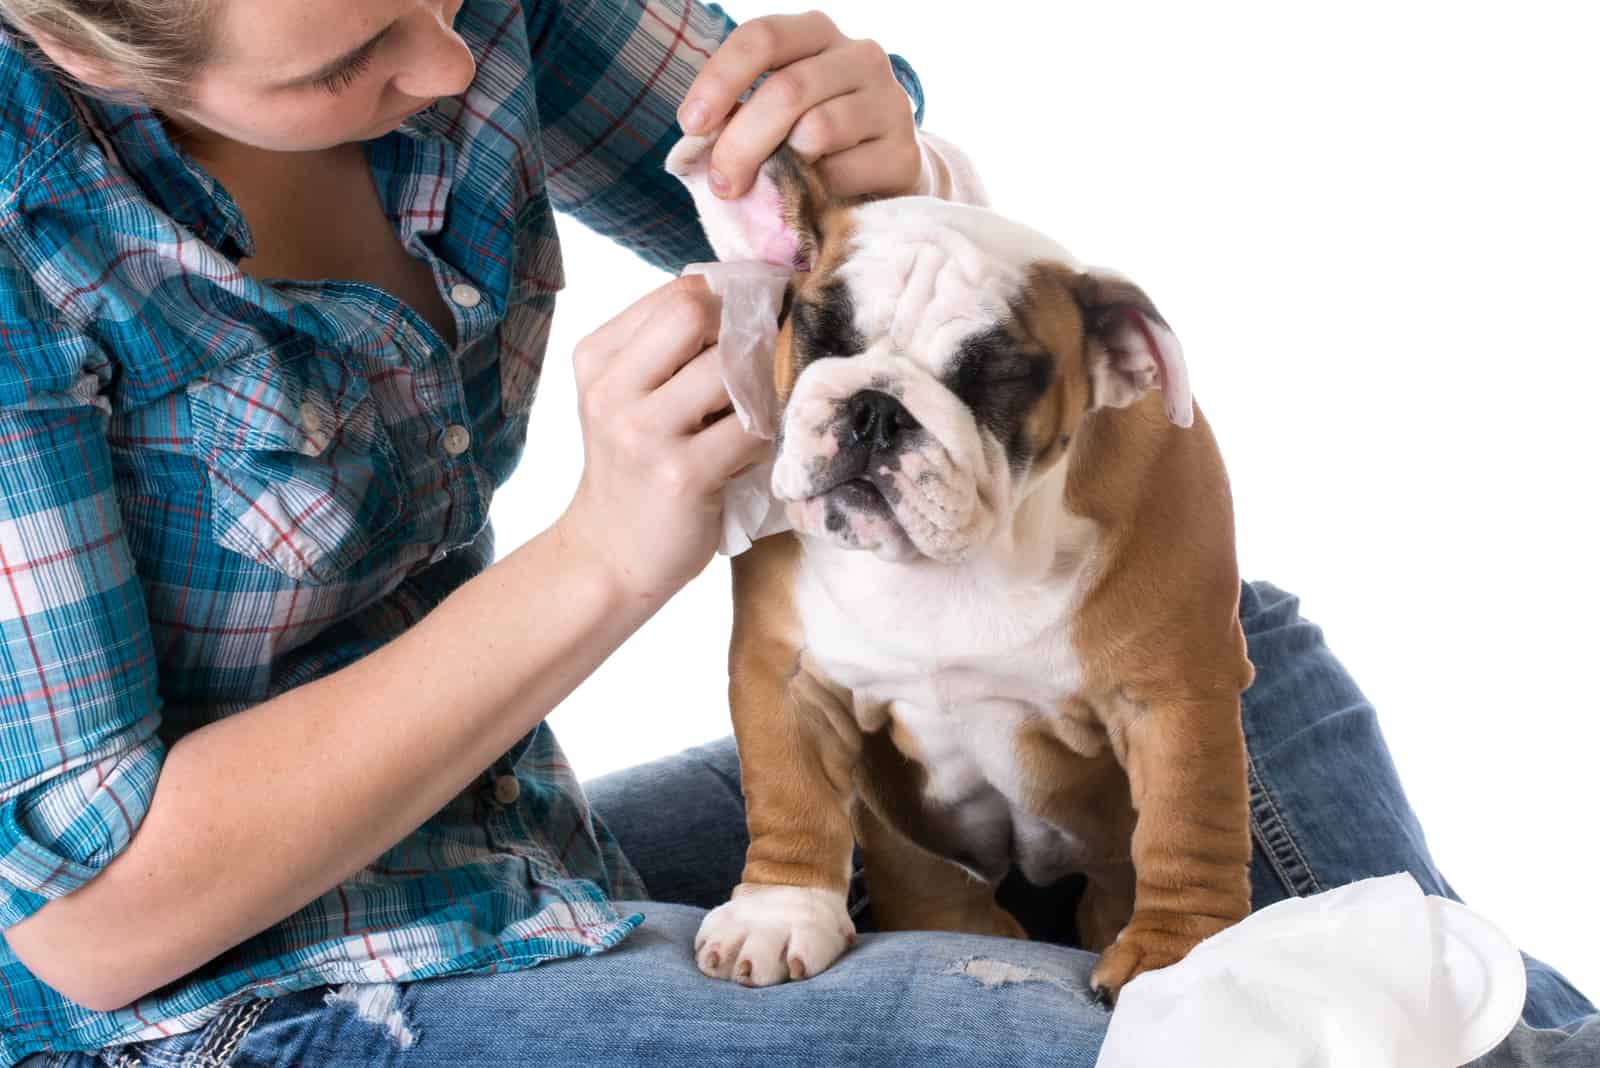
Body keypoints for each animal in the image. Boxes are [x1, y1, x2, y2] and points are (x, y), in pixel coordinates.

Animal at [668, 135, 1254, 1004]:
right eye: (820, 330)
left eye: (997, 378)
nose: (876, 408)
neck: (965, 557)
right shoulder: (785, 672)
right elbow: (789, 789)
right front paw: (777, 914)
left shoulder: (1176, 691)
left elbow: (1190, 822)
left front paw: (1178, 960)